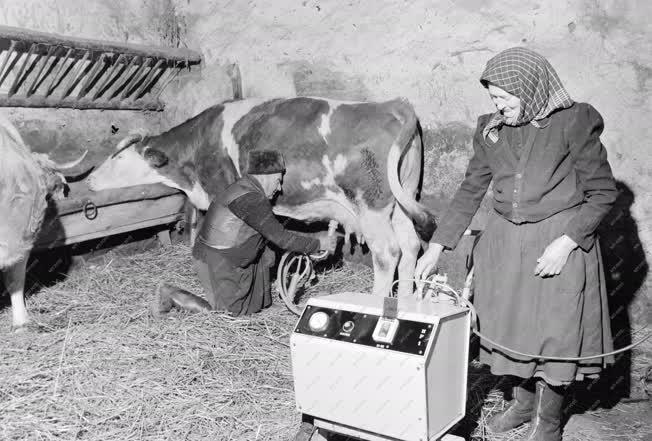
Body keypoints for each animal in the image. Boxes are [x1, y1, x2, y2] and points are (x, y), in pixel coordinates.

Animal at [85, 96, 432, 296]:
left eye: (119, 158)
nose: (89, 179)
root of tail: (391, 104)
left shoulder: (219, 193)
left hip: (372, 207)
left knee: (387, 253)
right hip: (401, 201)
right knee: (410, 246)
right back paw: (406, 303)